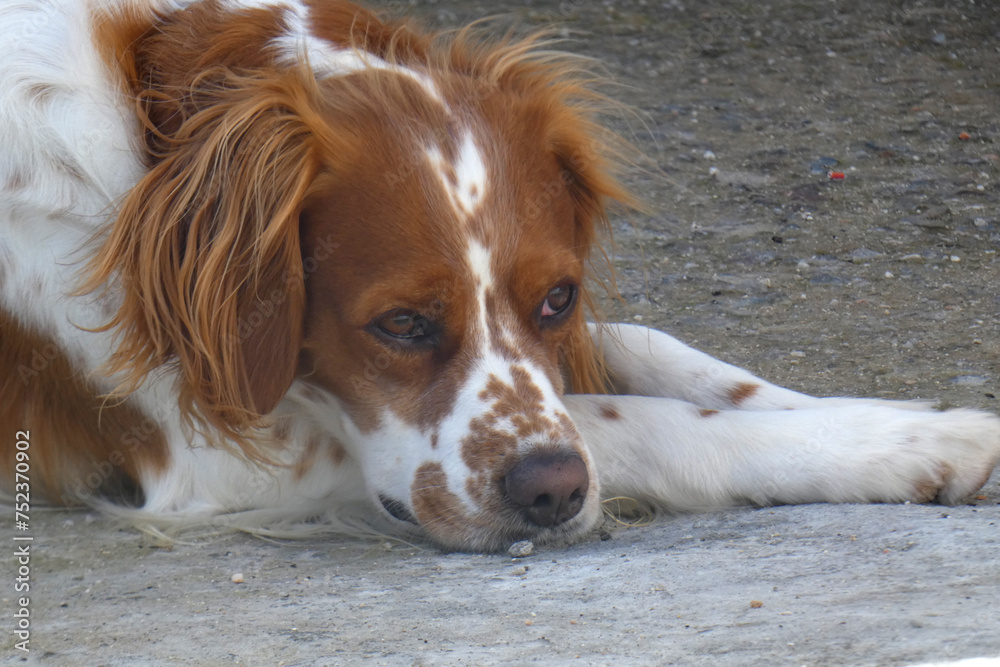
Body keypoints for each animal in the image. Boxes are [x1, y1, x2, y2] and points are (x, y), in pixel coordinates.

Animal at [1, 0, 1000, 552]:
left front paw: (904, 423)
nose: (550, 493)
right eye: (400, 323)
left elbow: (653, 353)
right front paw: (881, 445)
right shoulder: (222, 457)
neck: (153, 131)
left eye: (557, 297)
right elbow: (629, 419)